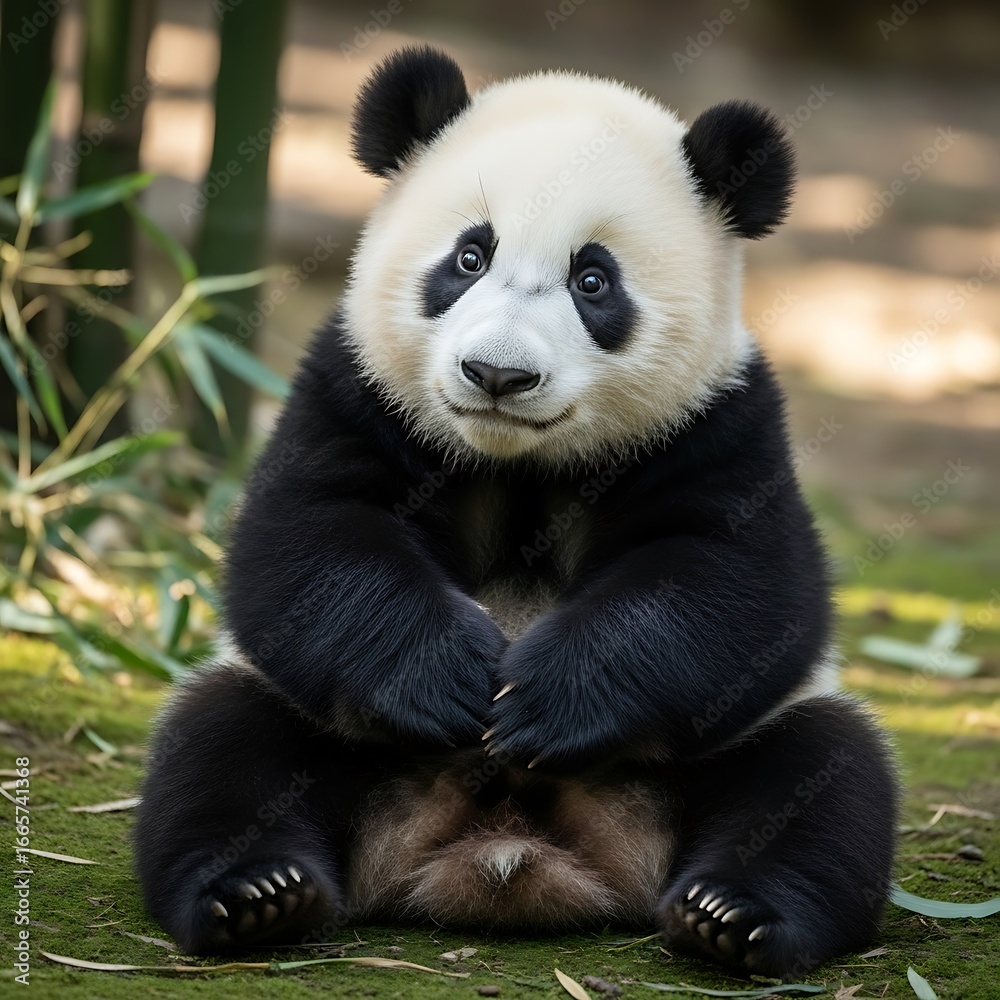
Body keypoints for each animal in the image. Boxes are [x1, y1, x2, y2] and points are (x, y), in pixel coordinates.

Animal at [134, 47, 899, 978]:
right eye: (470, 257)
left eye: (593, 280)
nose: (497, 374)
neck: (521, 460)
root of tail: (495, 856)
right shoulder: (356, 387)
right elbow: (308, 542)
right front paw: (451, 680)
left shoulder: (721, 423)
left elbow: (737, 584)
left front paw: (543, 702)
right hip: (299, 718)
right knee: (221, 747)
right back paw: (256, 897)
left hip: (755, 744)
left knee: (820, 781)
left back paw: (733, 915)